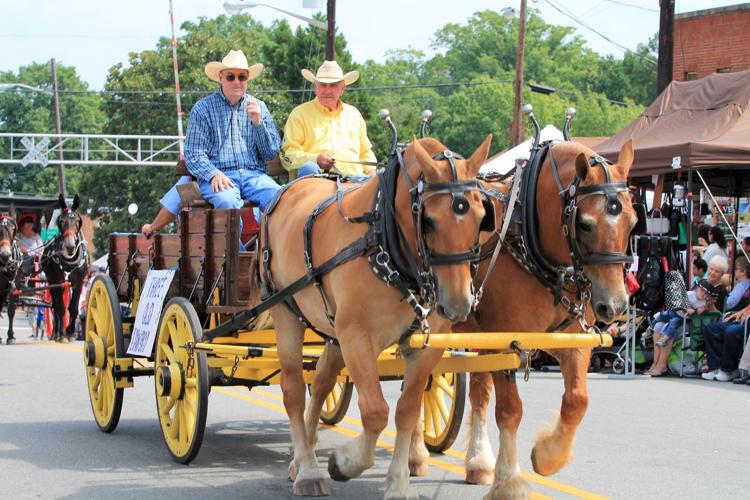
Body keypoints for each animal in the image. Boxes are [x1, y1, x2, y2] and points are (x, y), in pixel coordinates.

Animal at [42, 195, 89, 344]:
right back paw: (56, 334)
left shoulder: (79, 282)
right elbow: (61, 308)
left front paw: (71, 332)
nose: (69, 246)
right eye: (61, 221)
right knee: (55, 307)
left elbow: (73, 308)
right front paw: (63, 334)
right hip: (51, 282)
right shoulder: (58, 282)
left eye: (77, 221)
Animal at [262, 135, 502, 498]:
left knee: (321, 382)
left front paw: (399, 482)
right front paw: (345, 463)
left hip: (333, 331)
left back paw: (300, 460)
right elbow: (375, 412)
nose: (459, 303)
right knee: (292, 389)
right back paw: (308, 471)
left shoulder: (423, 346)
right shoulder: (357, 338)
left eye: (480, 216)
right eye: (429, 220)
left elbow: (406, 411)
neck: (388, 247)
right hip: (286, 312)